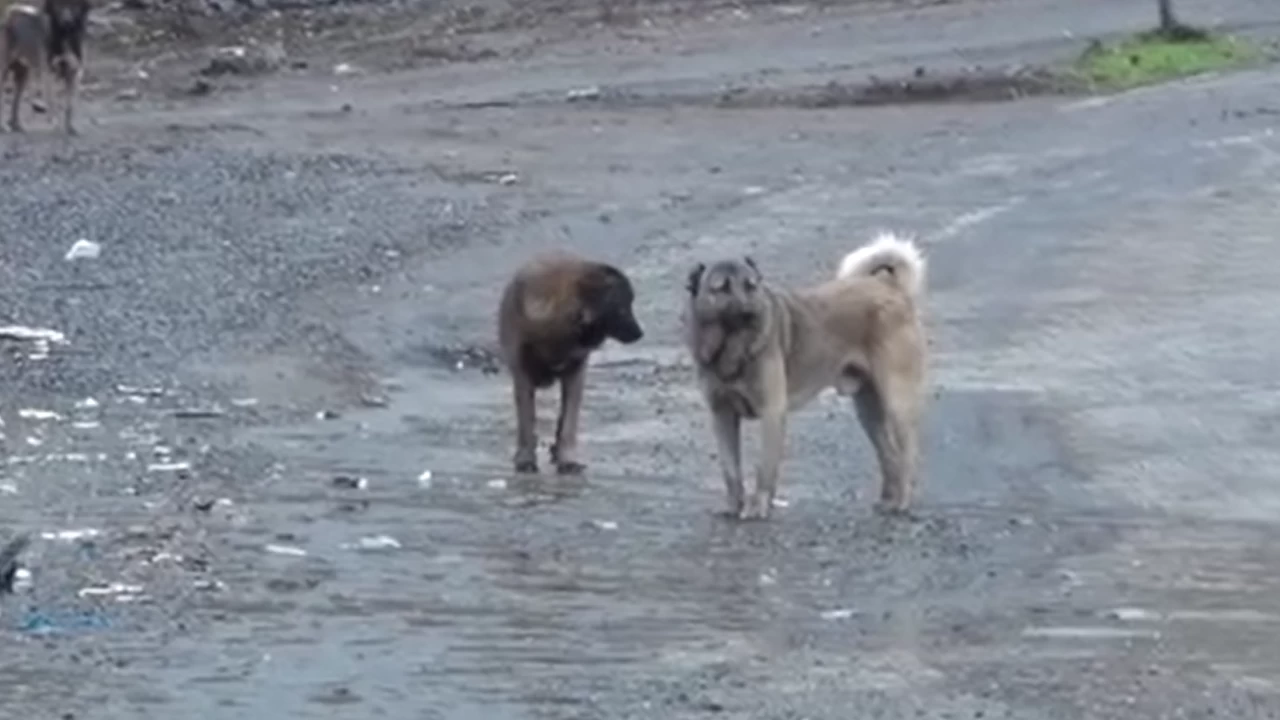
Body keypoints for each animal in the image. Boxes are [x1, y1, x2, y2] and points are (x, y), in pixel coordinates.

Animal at [496, 249, 645, 474]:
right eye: (622, 307)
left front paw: (567, 459)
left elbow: (568, 422)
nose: (640, 334)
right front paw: (526, 459)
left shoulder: (575, 373)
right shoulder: (522, 375)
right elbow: (527, 421)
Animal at [686, 233, 926, 517]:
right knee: (889, 456)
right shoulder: (722, 416)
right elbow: (731, 470)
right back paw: (888, 500)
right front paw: (734, 506)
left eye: (751, 286)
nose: (749, 313)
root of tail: (890, 287)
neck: (732, 346)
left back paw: (902, 502)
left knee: (907, 455)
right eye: (721, 288)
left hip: (897, 403)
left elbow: (764, 469)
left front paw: (757, 507)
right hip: (868, 410)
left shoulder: (772, 414)